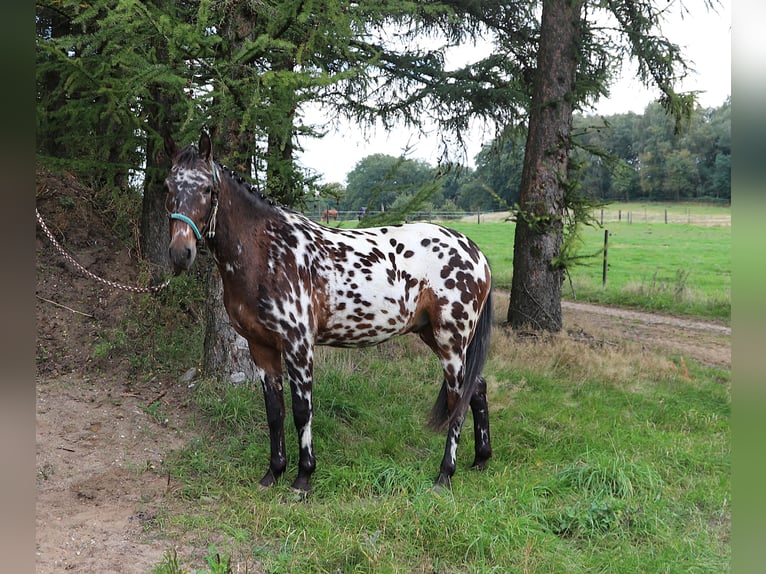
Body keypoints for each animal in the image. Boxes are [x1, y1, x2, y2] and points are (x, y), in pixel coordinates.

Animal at [164, 132, 493, 492]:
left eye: (208, 188)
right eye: (168, 187)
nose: (181, 253)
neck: (268, 252)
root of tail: (474, 252)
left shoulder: (298, 345)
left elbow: (301, 410)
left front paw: (303, 477)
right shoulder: (261, 347)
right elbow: (274, 412)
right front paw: (273, 472)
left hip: (451, 341)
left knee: (458, 401)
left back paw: (445, 474)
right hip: (434, 336)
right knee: (476, 389)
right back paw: (480, 459)